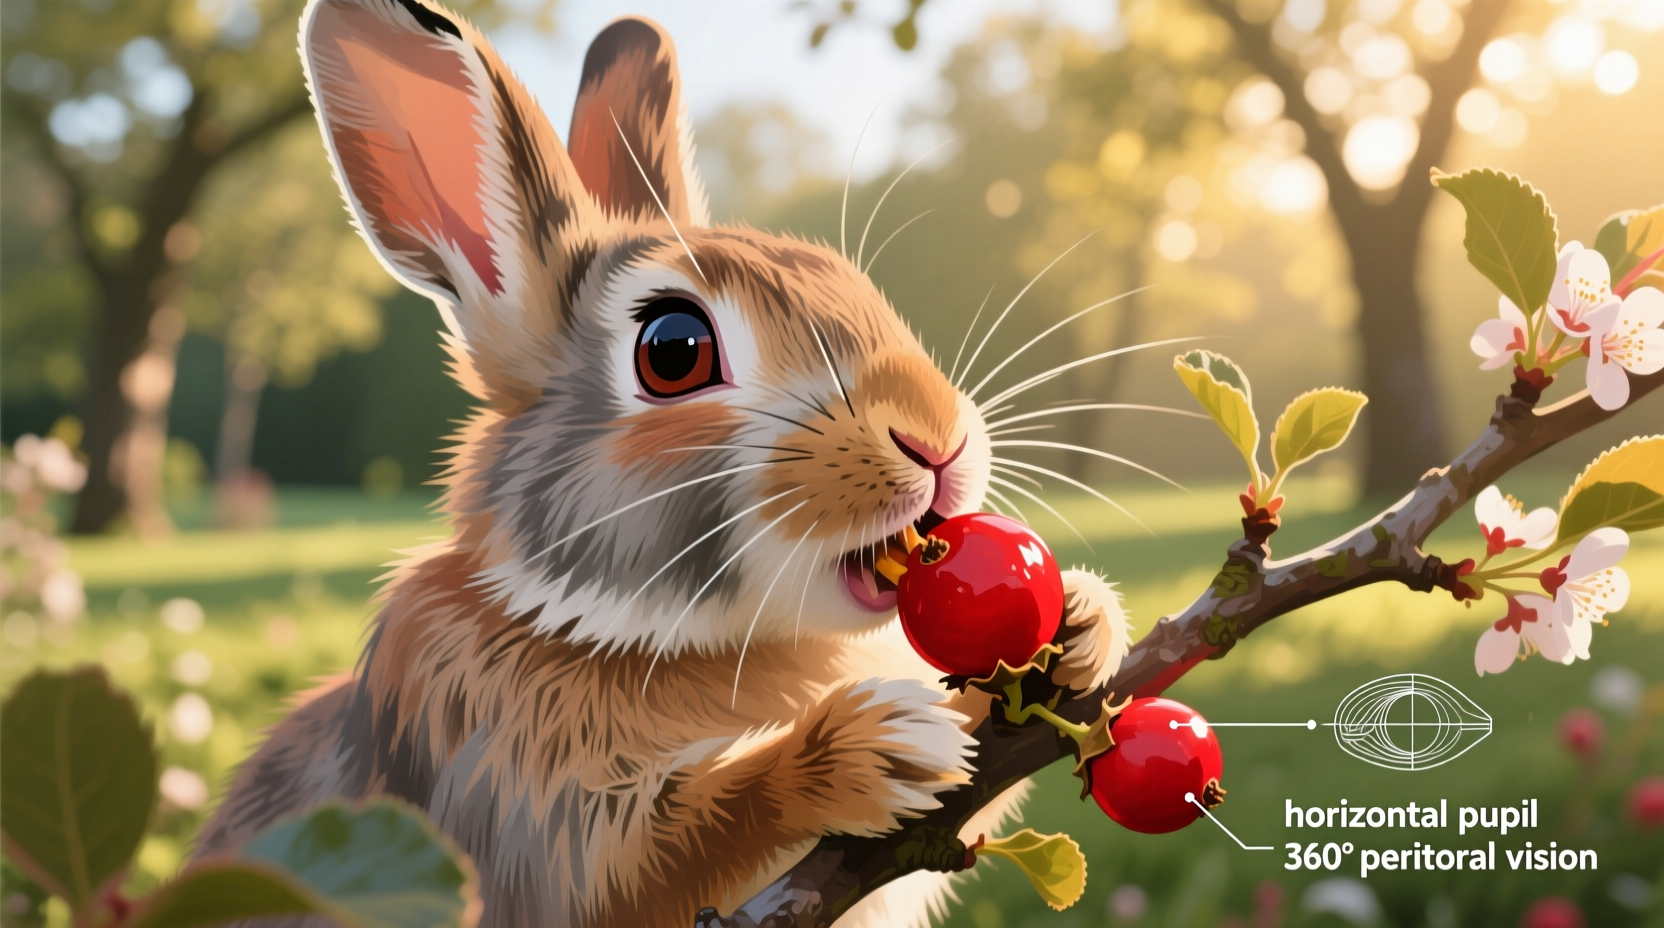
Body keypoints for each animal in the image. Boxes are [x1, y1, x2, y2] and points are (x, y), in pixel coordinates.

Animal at [194, 1, 1133, 926]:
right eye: (673, 350)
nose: (938, 442)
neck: (631, 632)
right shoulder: (513, 807)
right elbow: (661, 851)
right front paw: (873, 748)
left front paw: (1083, 626)